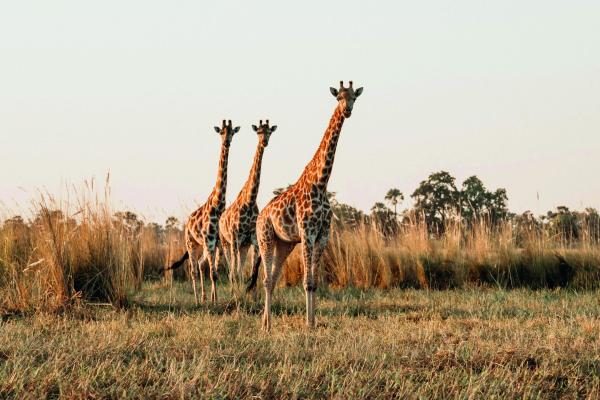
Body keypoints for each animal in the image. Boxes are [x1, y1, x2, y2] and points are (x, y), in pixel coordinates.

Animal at [165, 120, 240, 304]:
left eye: (232, 133)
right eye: (221, 132)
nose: (226, 143)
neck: (218, 204)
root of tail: (186, 224)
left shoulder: (218, 242)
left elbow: (219, 272)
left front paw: (216, 299)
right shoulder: (209, 240)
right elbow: (213, 273)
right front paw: (215, 301)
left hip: (202, 246)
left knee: (200, 264)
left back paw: (205, 297)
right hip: (191, 243)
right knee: (193, 268)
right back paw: (198, 300)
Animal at [219, 119, 278, 288]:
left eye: (269, 132)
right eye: (258, 132)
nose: (264, 142)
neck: (250, 201)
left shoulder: (252, 239)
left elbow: (252, 272)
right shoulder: (235, 237)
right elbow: (234, 271)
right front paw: (236, 292)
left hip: (243, 246)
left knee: (238, 269)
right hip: (225, 242)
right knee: (231, 270)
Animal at [253, 79, 360, 330]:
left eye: (354, 97)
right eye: (338, 97)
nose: (347, 110)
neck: (321, 182)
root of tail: (260, 216)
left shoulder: (322, 234)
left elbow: (314, 282)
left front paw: (312, 323)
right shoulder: (307, 233)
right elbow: (306, 281)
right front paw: (307, 324)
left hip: (284, 244)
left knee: (273, 278)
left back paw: (266, 323)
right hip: (265, 238)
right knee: (266, 279)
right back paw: (266, 326)